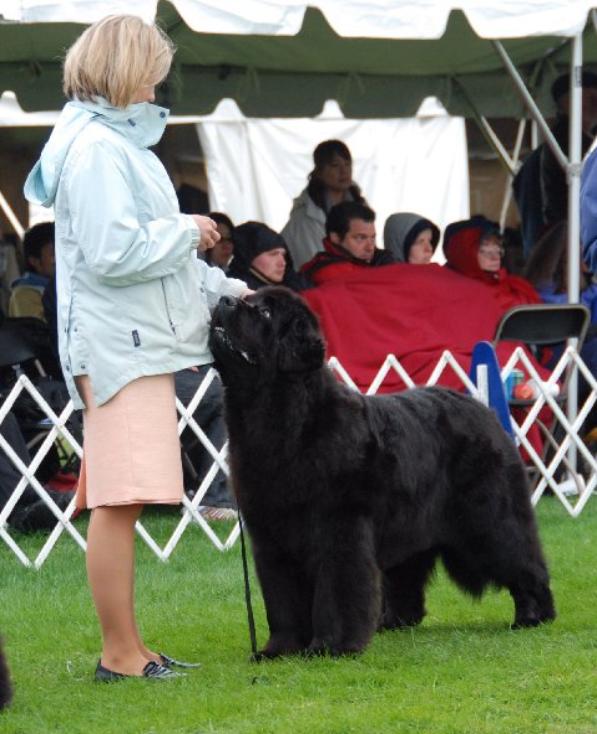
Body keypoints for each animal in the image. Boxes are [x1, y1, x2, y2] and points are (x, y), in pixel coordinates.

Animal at [210, 284, 556, 660]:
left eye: (265, 313)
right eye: (248, 301)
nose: (223, 300)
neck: (284, 420)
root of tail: (482, 408)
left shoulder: (339, 528)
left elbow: (337, 591)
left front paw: (332, 646)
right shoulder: (271, 536)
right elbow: (281, 599)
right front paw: (278, 650)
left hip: (488, 518)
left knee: (521, 557)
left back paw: (533, 615)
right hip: (413, 525)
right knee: (407, 575)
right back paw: (393, 621)